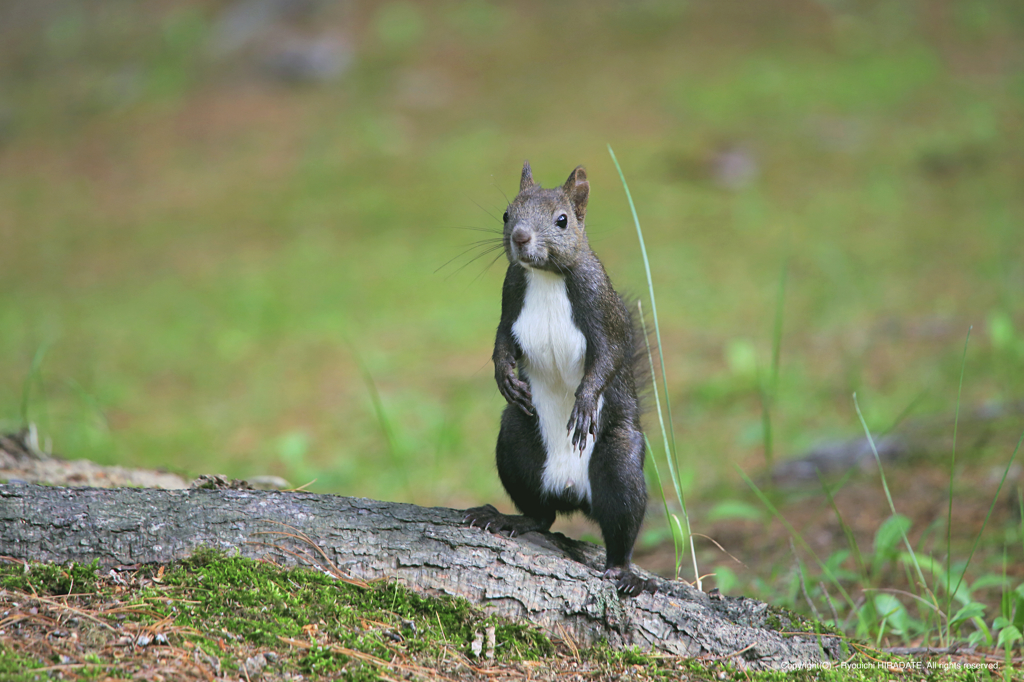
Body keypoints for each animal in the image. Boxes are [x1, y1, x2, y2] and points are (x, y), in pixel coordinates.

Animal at [462, 160, 647, 593]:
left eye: (562, 220)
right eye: (506, 214)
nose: (520, 236)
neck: (546, 275)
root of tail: (570, 491)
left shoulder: (602, 310)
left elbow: (609, 358)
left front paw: (583, 402)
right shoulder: (510, 298)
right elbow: (500, 342)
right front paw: (505, 377)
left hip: (620, 463)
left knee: (621, 528)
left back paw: (624, 573)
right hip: (516, 445)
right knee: (540, 515)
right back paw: (507, 518)